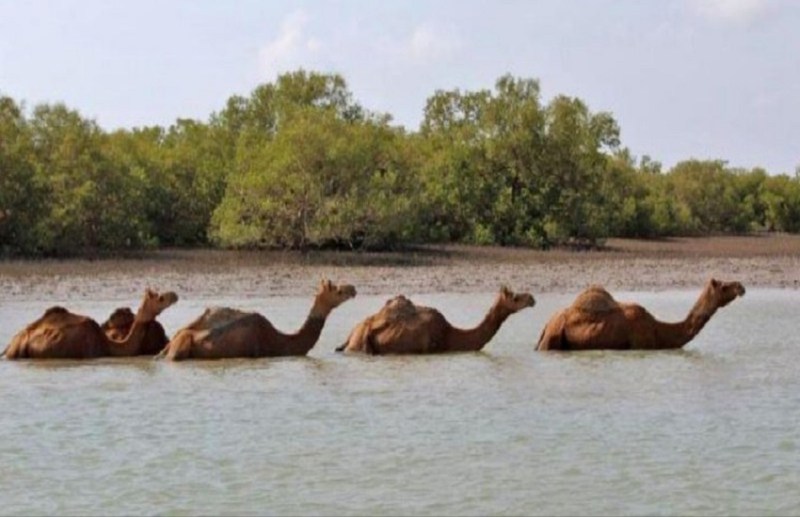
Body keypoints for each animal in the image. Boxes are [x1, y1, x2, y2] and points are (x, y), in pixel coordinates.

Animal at [2, 289, 179, 359]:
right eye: (160, 298)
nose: (175, 295)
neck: (110, 346)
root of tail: (9, 344)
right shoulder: (90, 352)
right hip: (16, 351)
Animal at [536, 278, 745, 351]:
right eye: (724, 286)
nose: (741, 286)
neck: (659, 330)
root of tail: (545, 325)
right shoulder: (640, 344)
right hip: (553, 338)